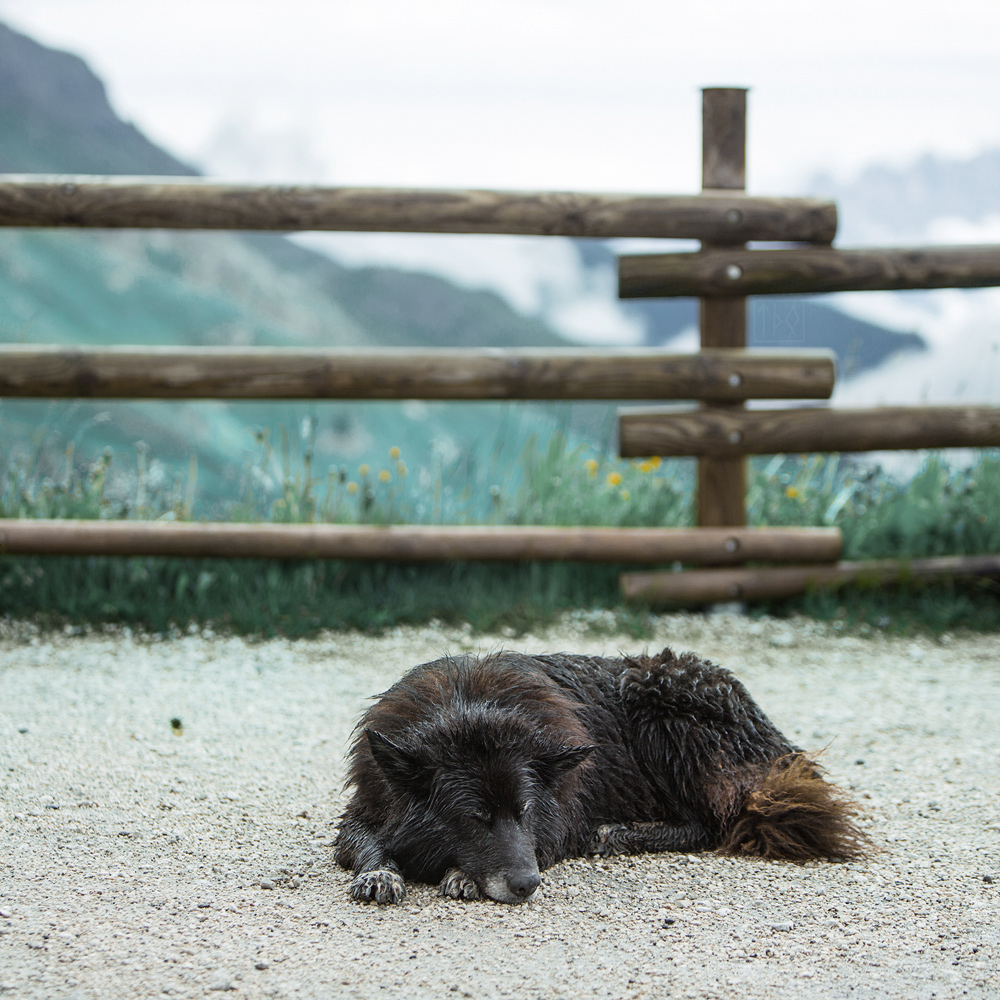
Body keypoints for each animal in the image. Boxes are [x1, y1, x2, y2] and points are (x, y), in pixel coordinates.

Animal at [336, 648, 868, 908]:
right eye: (475, 817)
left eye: (524, 811)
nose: (528, 885)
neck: (470, 707)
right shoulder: (361, 811)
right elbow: (369, 843)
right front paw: (380, 872)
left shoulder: (556, 826)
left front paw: (460, 875)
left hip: (661, 711)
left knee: (709, 825)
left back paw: (616, 832)